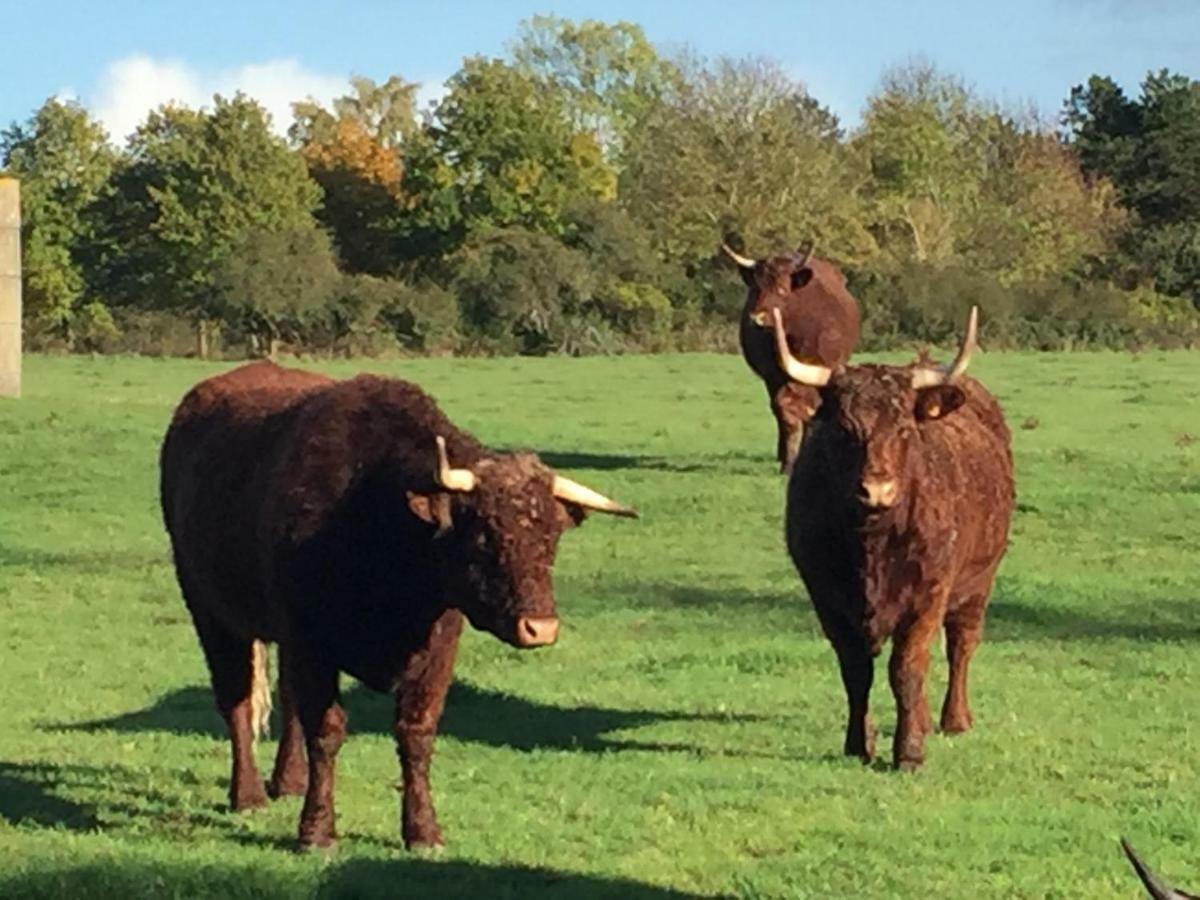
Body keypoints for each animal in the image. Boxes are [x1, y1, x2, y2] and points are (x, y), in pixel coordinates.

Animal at [159, 362, 638, 854]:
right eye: (484, 533)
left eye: (551, 538)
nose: (540, 627)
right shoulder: (311, 643)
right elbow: (326, 731)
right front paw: (317, 831)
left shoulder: (438, 648)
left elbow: (416, 733)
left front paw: (423, 829)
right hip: (210, 612)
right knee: (236, 700)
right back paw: (249, 794)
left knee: (287, 701)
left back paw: (288, 781)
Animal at [724, 243, 859, 475]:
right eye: (756, 289)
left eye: (782, 289)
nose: (757, 319)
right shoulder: (774, 378)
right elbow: (783, 411)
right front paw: (788, 462)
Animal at [777, 309, 1012, 777]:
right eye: (844, 430)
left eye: (903, 429)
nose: (877, 491)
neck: (872, 547)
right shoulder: (827, 598)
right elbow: (855, 670)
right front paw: (859, 743)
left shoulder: (928, 596)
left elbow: (906, 669)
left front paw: (909, 751)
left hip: (979, 582)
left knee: (961, 645)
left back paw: (953, 719)